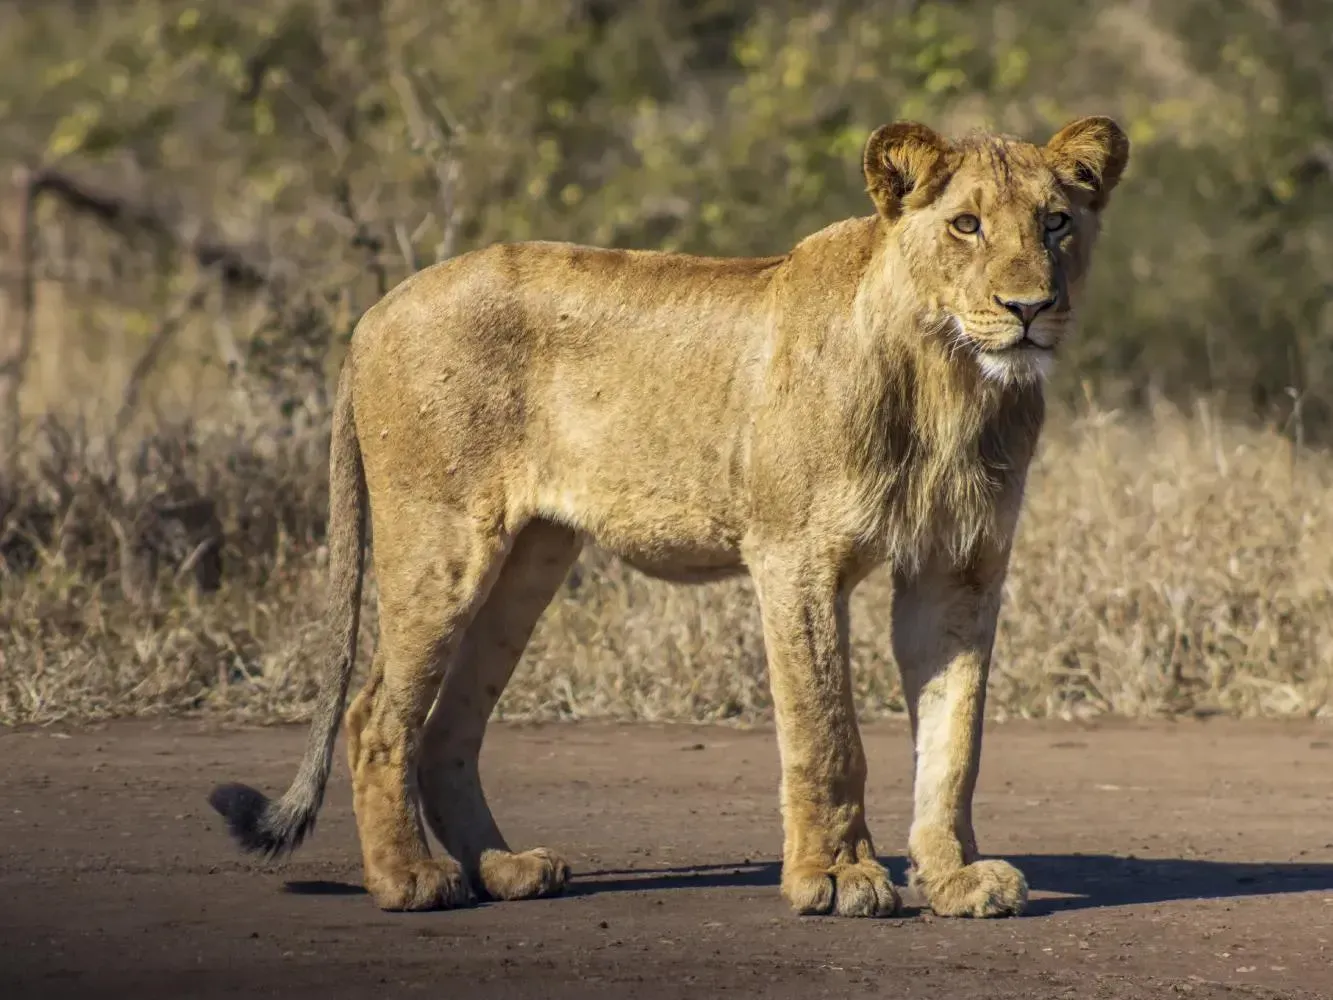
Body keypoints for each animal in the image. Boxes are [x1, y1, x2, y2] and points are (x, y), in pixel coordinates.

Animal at [209, 115, 1129, 918]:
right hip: (443, 543)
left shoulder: (958, 570)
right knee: (374, 716)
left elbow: (954, 739)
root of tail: (373, 314)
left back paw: (504, 869)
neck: (950, 381)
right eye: (966, 226)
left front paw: (955, 879)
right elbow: (827, 731)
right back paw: (410, 879)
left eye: (1054, 223)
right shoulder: (794, 557)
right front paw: (836, 878)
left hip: (530, 559)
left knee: (445, 728)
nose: (1028, 308)